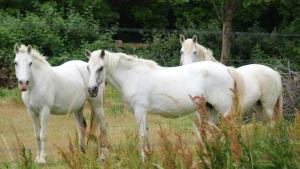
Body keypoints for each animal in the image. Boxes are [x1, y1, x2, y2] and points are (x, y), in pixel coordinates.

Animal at [84, 48, 241, 160]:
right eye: (88, 68)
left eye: (100, 68)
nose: (91, 90)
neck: (134, 76)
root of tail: (227, 70)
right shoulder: (144, 113)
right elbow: (146, 134)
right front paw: (148, 156)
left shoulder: (140, 111)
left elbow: (141, 135)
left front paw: (142, 159)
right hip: (211, 109)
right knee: (215, 132)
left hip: (224, 110)